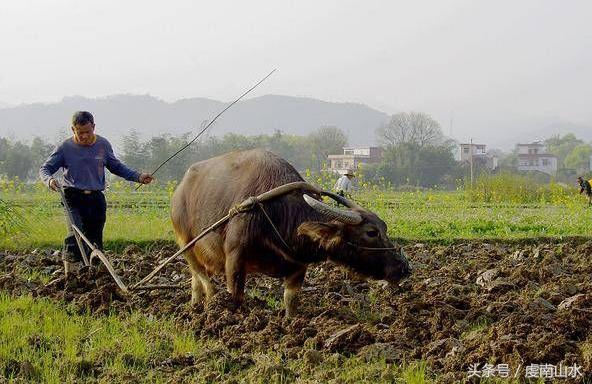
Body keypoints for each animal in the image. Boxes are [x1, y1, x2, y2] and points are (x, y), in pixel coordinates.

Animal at [171, 148, 412, 316]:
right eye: (371, 232)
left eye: (384, 228)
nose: (403, 267)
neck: (279, 214)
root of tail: (180, 190)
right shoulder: (235, 259)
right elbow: (236, 297)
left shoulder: (298, 265)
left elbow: (291, 300)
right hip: (185, 243)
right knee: (201, 275)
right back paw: (210, 302)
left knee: (195, 278)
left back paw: (195, 305)